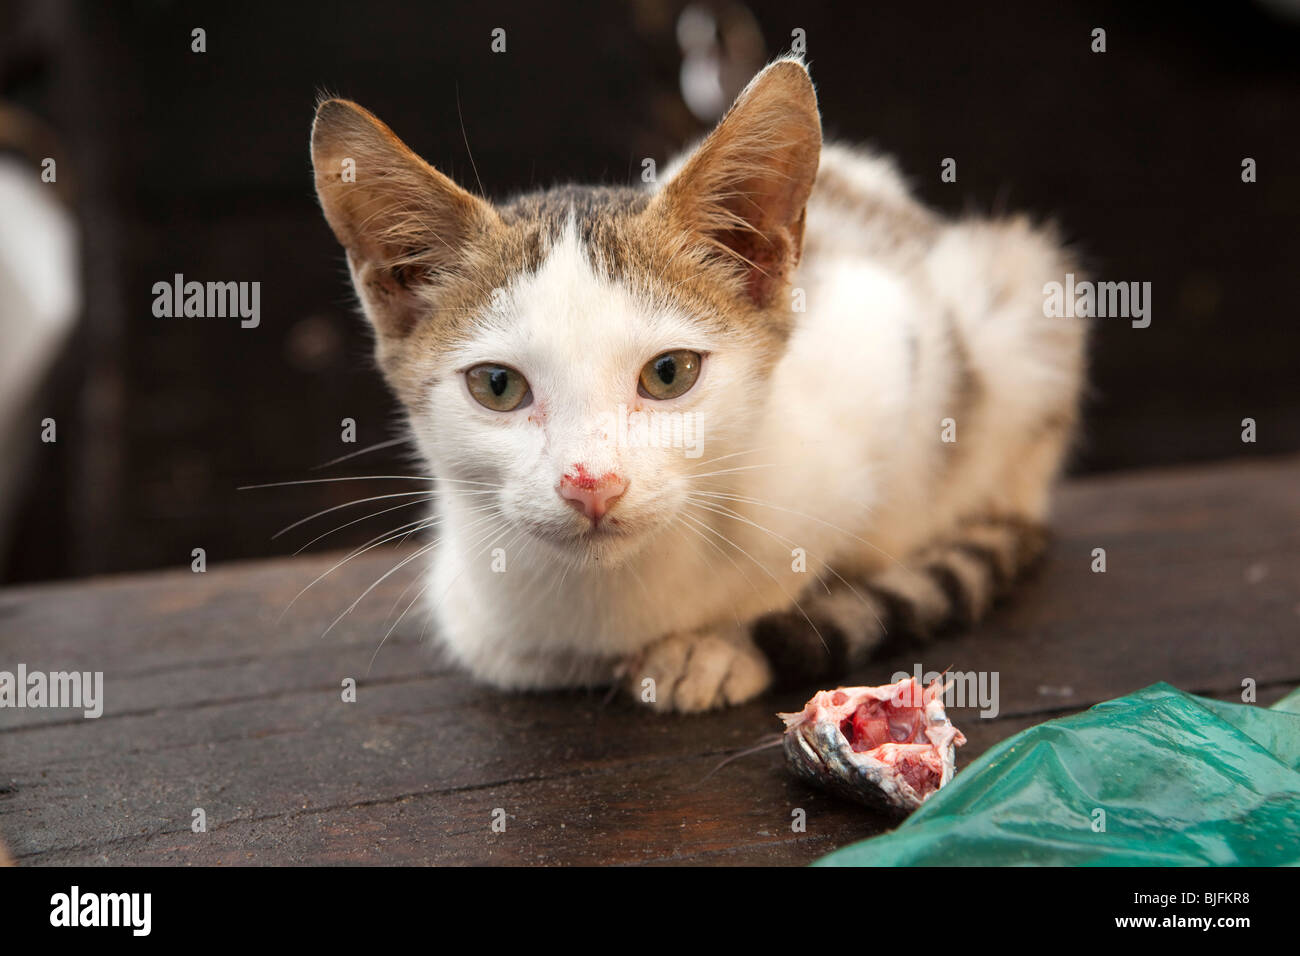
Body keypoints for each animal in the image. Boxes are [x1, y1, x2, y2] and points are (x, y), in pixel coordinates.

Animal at [306, 57, 1086, 712]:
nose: (592, 483)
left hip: (1020, 296)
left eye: (669, 373)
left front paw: (714, 646)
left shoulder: (886, 340)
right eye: (497, 385)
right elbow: (510, 652)